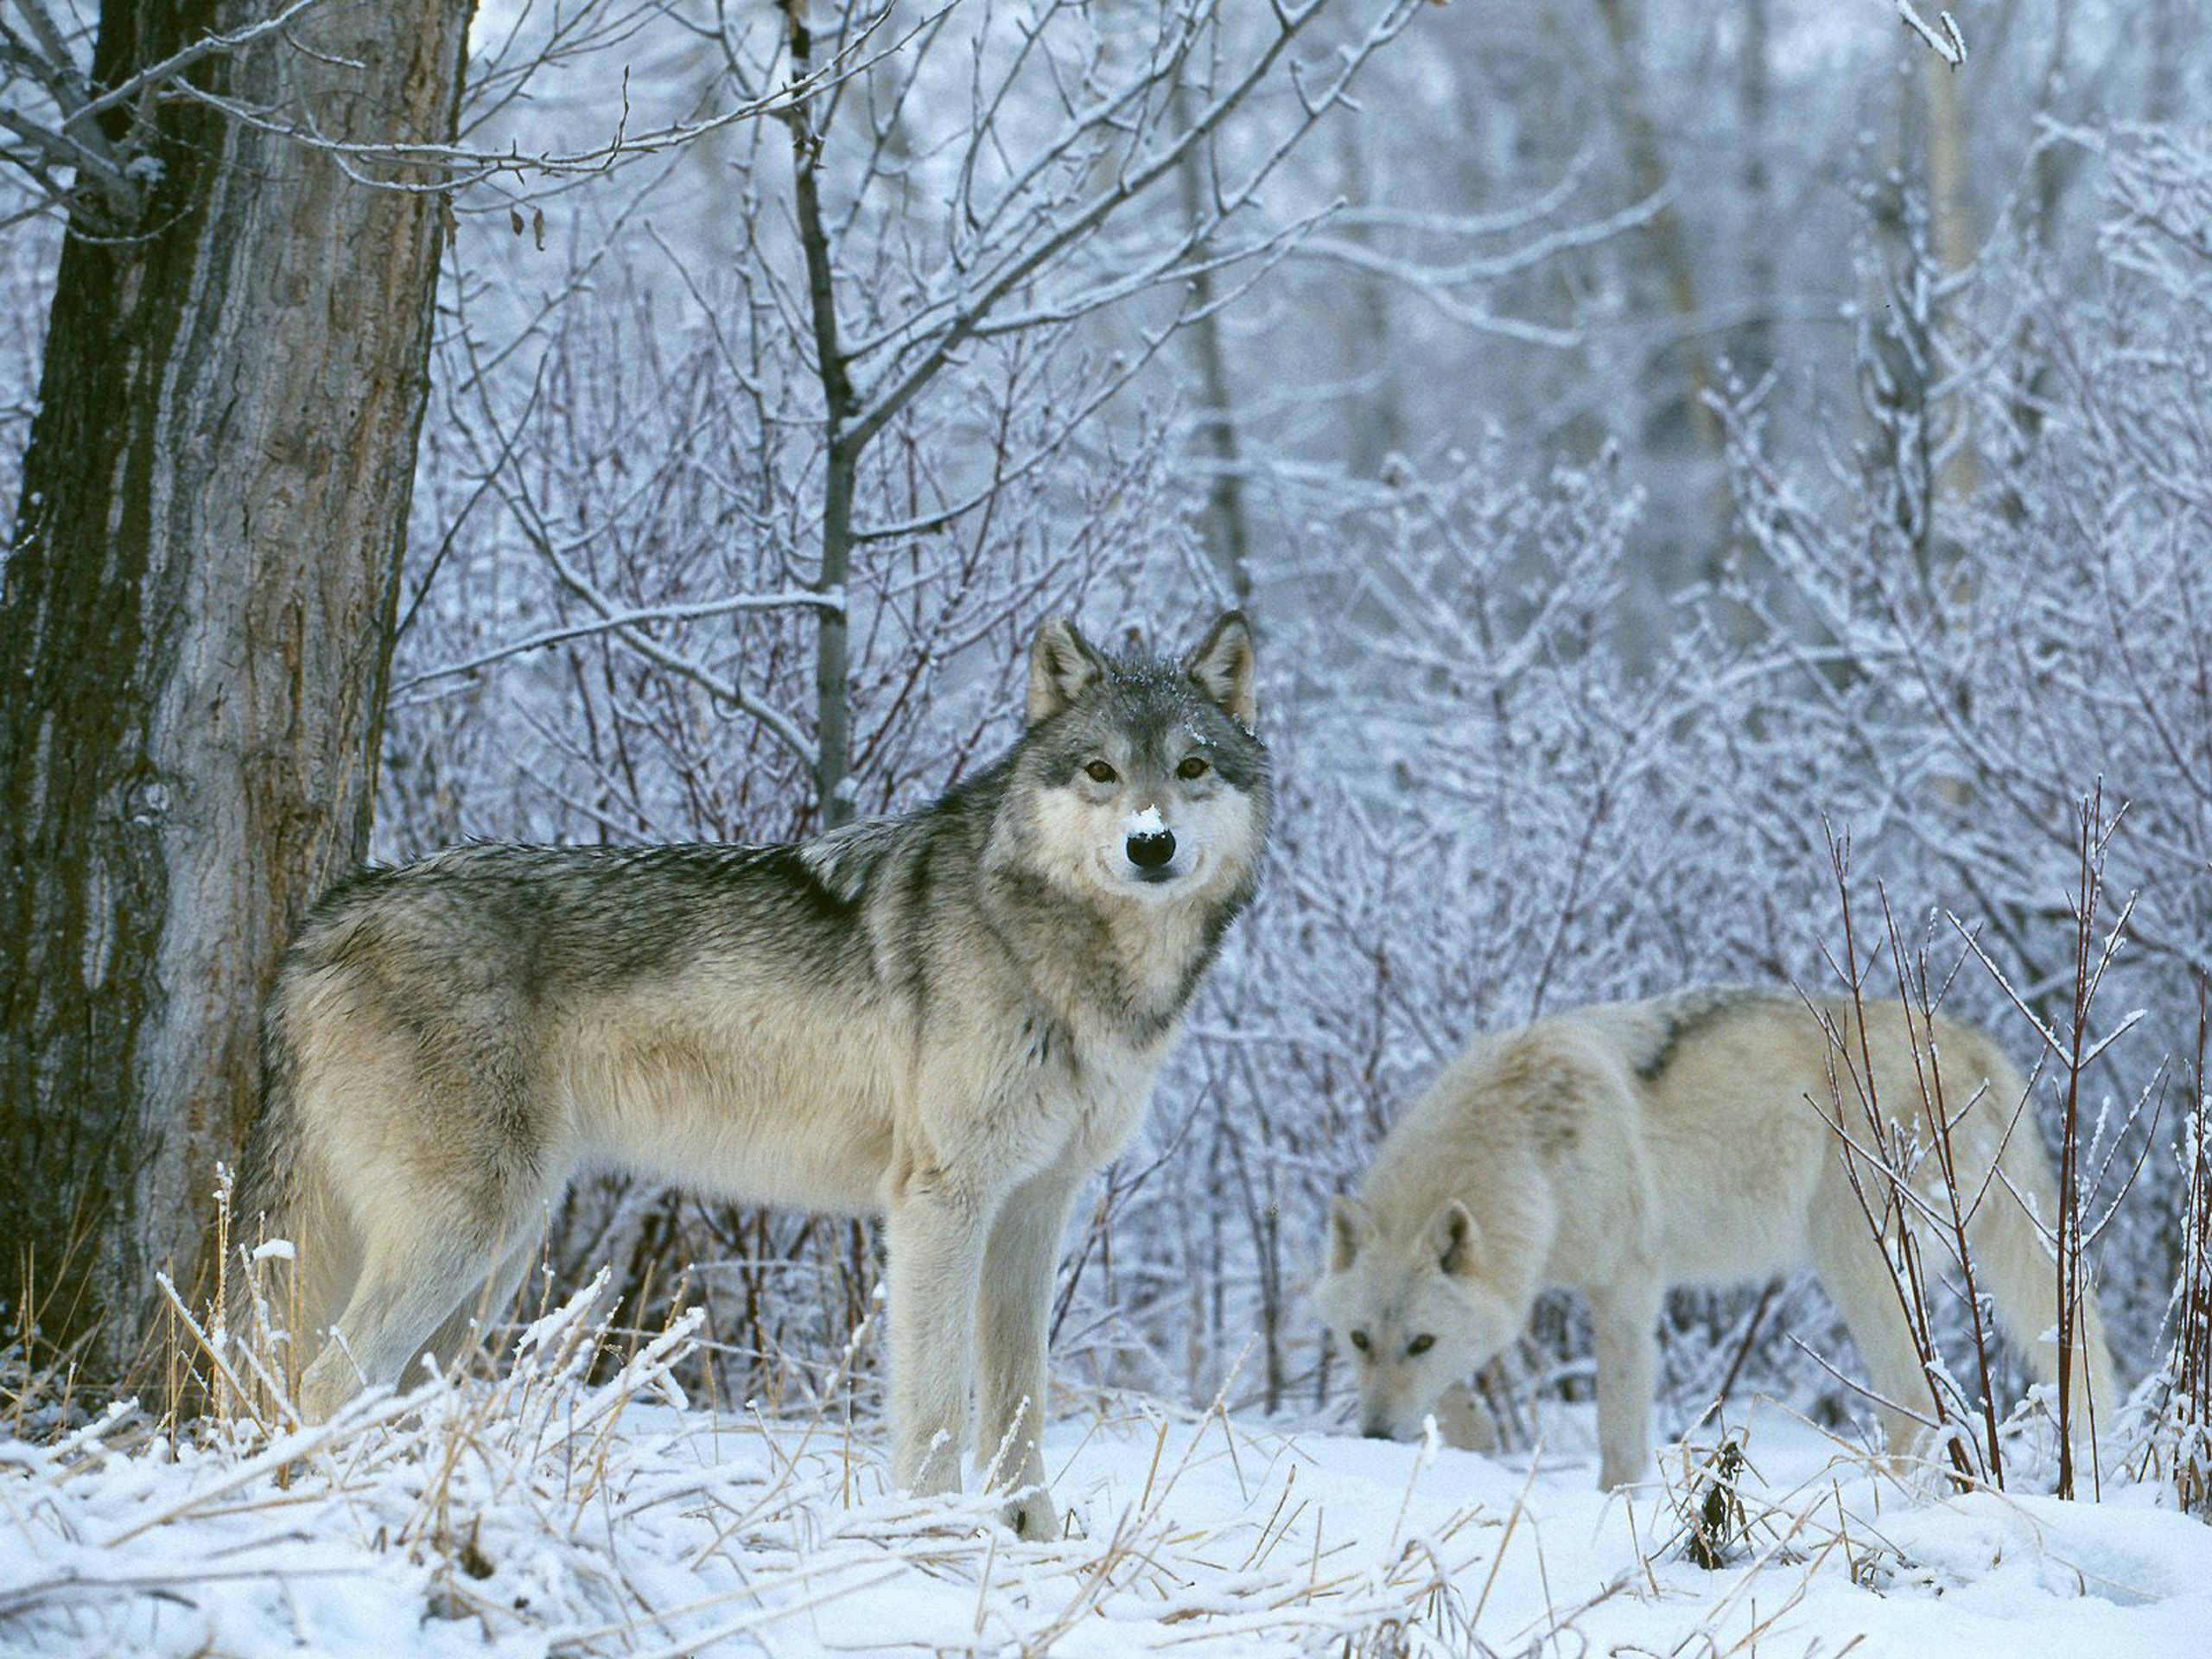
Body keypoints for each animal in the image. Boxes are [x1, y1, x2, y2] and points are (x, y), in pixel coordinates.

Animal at [233, 610, 1274, 1548]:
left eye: (1191, 769)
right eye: (1101, 772)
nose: (1150, 844)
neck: (1062, 953)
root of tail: (327, 918)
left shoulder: (1034, 1207)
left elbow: (1019, 1400)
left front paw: (1029, 1540)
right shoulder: (940, 1203)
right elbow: (937, 1403)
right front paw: (932, 1540)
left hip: (494, 1259)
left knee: (390, 1392)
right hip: (470, 1232)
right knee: (324, 1378)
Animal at [1318, 986, 2114, 1495]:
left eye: (1419, 1342)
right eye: (1358, 1341)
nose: (1374, 1436)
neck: (1528, 1149)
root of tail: (1978, 1045)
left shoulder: (1627, 1287)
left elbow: (1618, 1432)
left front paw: (1614, 1504)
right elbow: (1463, 1395)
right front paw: (1475, 1439)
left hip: (1856, 1266)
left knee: (1917, 1410)